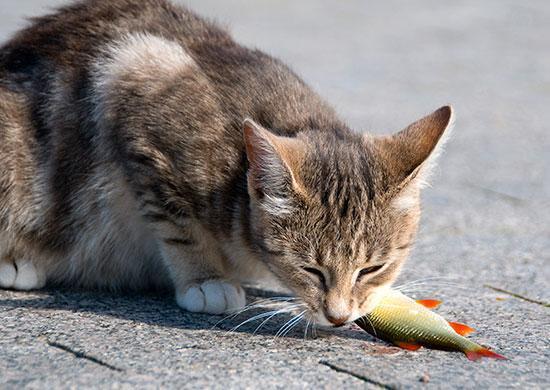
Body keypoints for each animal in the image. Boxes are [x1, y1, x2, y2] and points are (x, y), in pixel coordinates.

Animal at [0, 0, 454, 326]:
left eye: (372, 268)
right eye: (310, 269)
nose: (339, 317)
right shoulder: (136, 78)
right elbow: (179, 224)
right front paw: (206, 280)